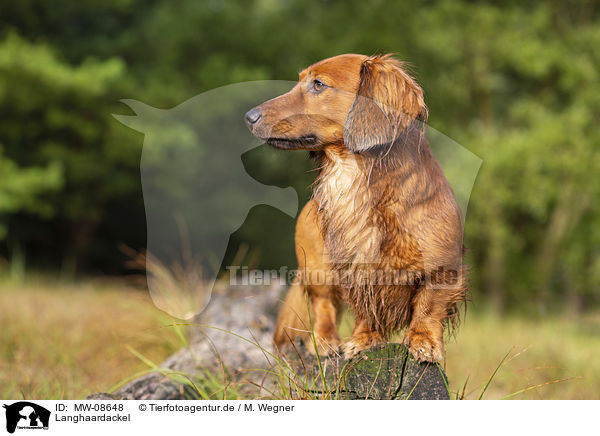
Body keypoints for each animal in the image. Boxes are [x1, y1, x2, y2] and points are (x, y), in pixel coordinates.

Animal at [245, 53, 468, 362]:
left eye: (318, 84)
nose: (249, 117)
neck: (354, 174)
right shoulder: (355, 269)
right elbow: (363, 309)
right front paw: (364, 339)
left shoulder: (442, 270)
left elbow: (429, 307)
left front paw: (424, 341)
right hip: (318, 269)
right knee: (323, 306)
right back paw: (324, 342)